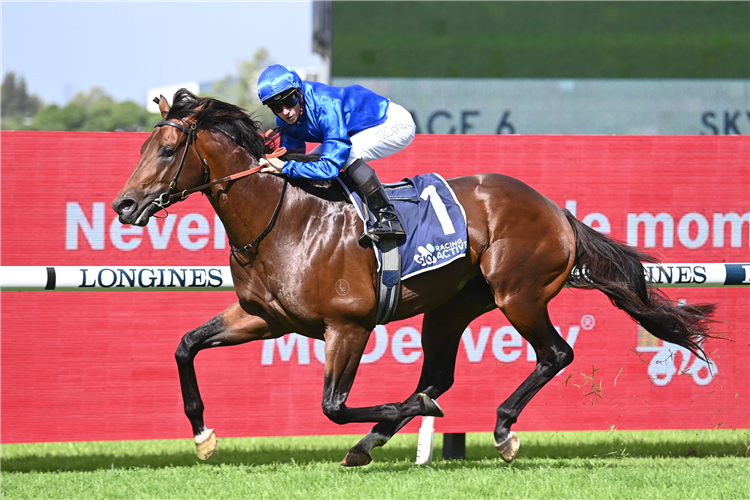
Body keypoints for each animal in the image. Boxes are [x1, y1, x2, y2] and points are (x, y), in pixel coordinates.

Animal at [111, 89, 716, 464]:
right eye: (141, 146)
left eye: (168, 149)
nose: (124, 205)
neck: (281, 218)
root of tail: (555, 209)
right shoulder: (264, 317)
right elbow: (187, 345)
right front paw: (203, 436)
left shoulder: (347, 325)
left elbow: (332, 406)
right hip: (452, 307)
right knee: (438, 376)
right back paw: (372, 443)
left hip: (518, 294)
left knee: (555, 354)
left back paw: (501, 430)